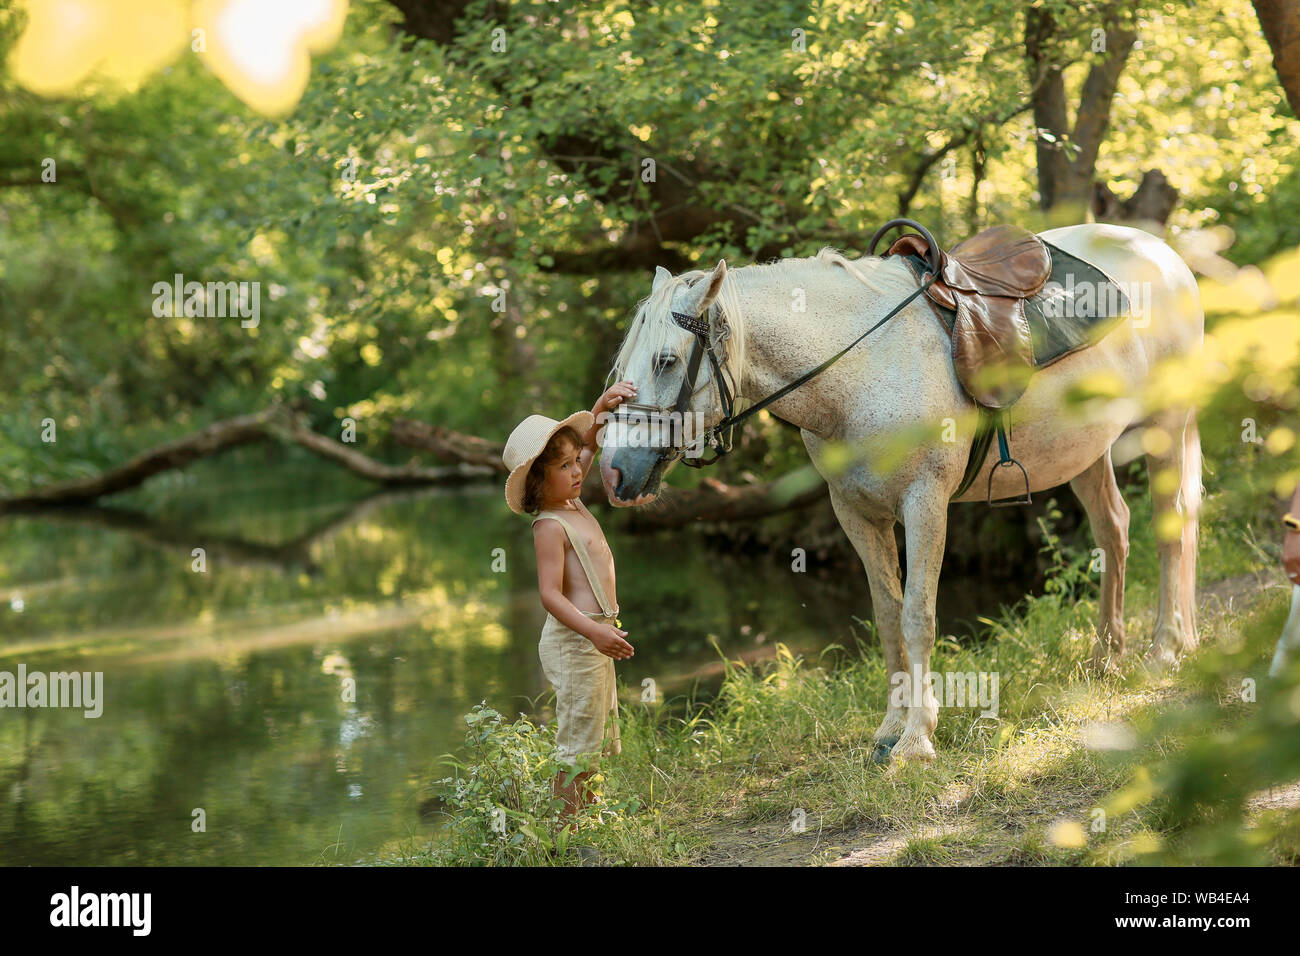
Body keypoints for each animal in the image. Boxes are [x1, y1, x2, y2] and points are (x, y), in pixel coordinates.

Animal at [595, 222, 1201, 764]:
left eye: (666, 360)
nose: (613, 473)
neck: (861, 368)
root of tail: (1163, 252)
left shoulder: (924, 501)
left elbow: (917, 616)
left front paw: (917, 739)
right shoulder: (855, 512)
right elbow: (887, 614)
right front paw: (890, 728)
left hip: (1166, 423)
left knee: (1170, 527)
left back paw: (1165, 648)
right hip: (1087, 450)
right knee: (1113, 530)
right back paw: (1107, 656)